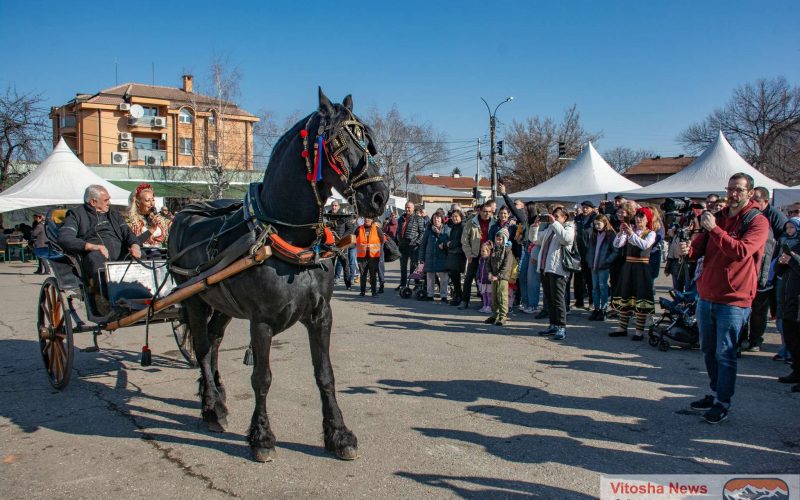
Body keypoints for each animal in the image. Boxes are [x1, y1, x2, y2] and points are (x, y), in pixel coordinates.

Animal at [170, 89, 390, 460]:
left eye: (368, 142)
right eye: (337, 142)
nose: (379, 197)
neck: (289, 239)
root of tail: (185, 213)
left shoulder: (321, 316)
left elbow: (325, 374)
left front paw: (339, 434)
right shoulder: (261, 321)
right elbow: (262, 378)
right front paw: (261, 436)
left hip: (223, 305)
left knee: (213, 344)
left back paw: (216, 396)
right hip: (195, 301)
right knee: (200, 348)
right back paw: (212, 407)